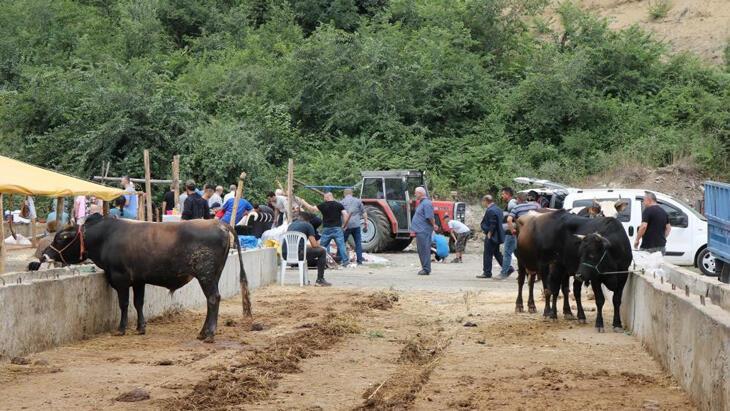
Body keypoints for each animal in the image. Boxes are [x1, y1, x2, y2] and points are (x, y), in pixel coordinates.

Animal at [44, 214, 250, 342]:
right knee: (211, 300)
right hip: (213, 275)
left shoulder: (121, 279)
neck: (106, 237)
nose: (45, 255)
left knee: (213, 299)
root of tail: (218, 223)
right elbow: (138, 302)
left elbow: (124, 304)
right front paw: (141, 328)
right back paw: (202, 333)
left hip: (205, 275)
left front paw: (121, 329)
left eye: (61, 238)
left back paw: (209, 335)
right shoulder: (138, 280)